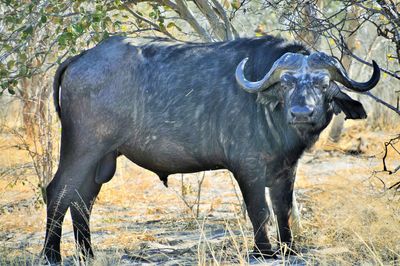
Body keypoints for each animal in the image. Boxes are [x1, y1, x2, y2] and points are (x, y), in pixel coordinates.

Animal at [43, 34, 378, 262]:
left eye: (323, 83)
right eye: (286, 83)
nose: (301, 113)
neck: (270, 112)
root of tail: (80, 58)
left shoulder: (286, 169)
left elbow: (282, 208)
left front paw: (288, 248)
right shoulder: (247, 167)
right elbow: (260, 210)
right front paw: (264, 250)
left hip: (101, 160)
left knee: (82, 200)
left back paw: (87, 253)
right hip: (81, 149)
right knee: (58, 192)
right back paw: (51, 254)